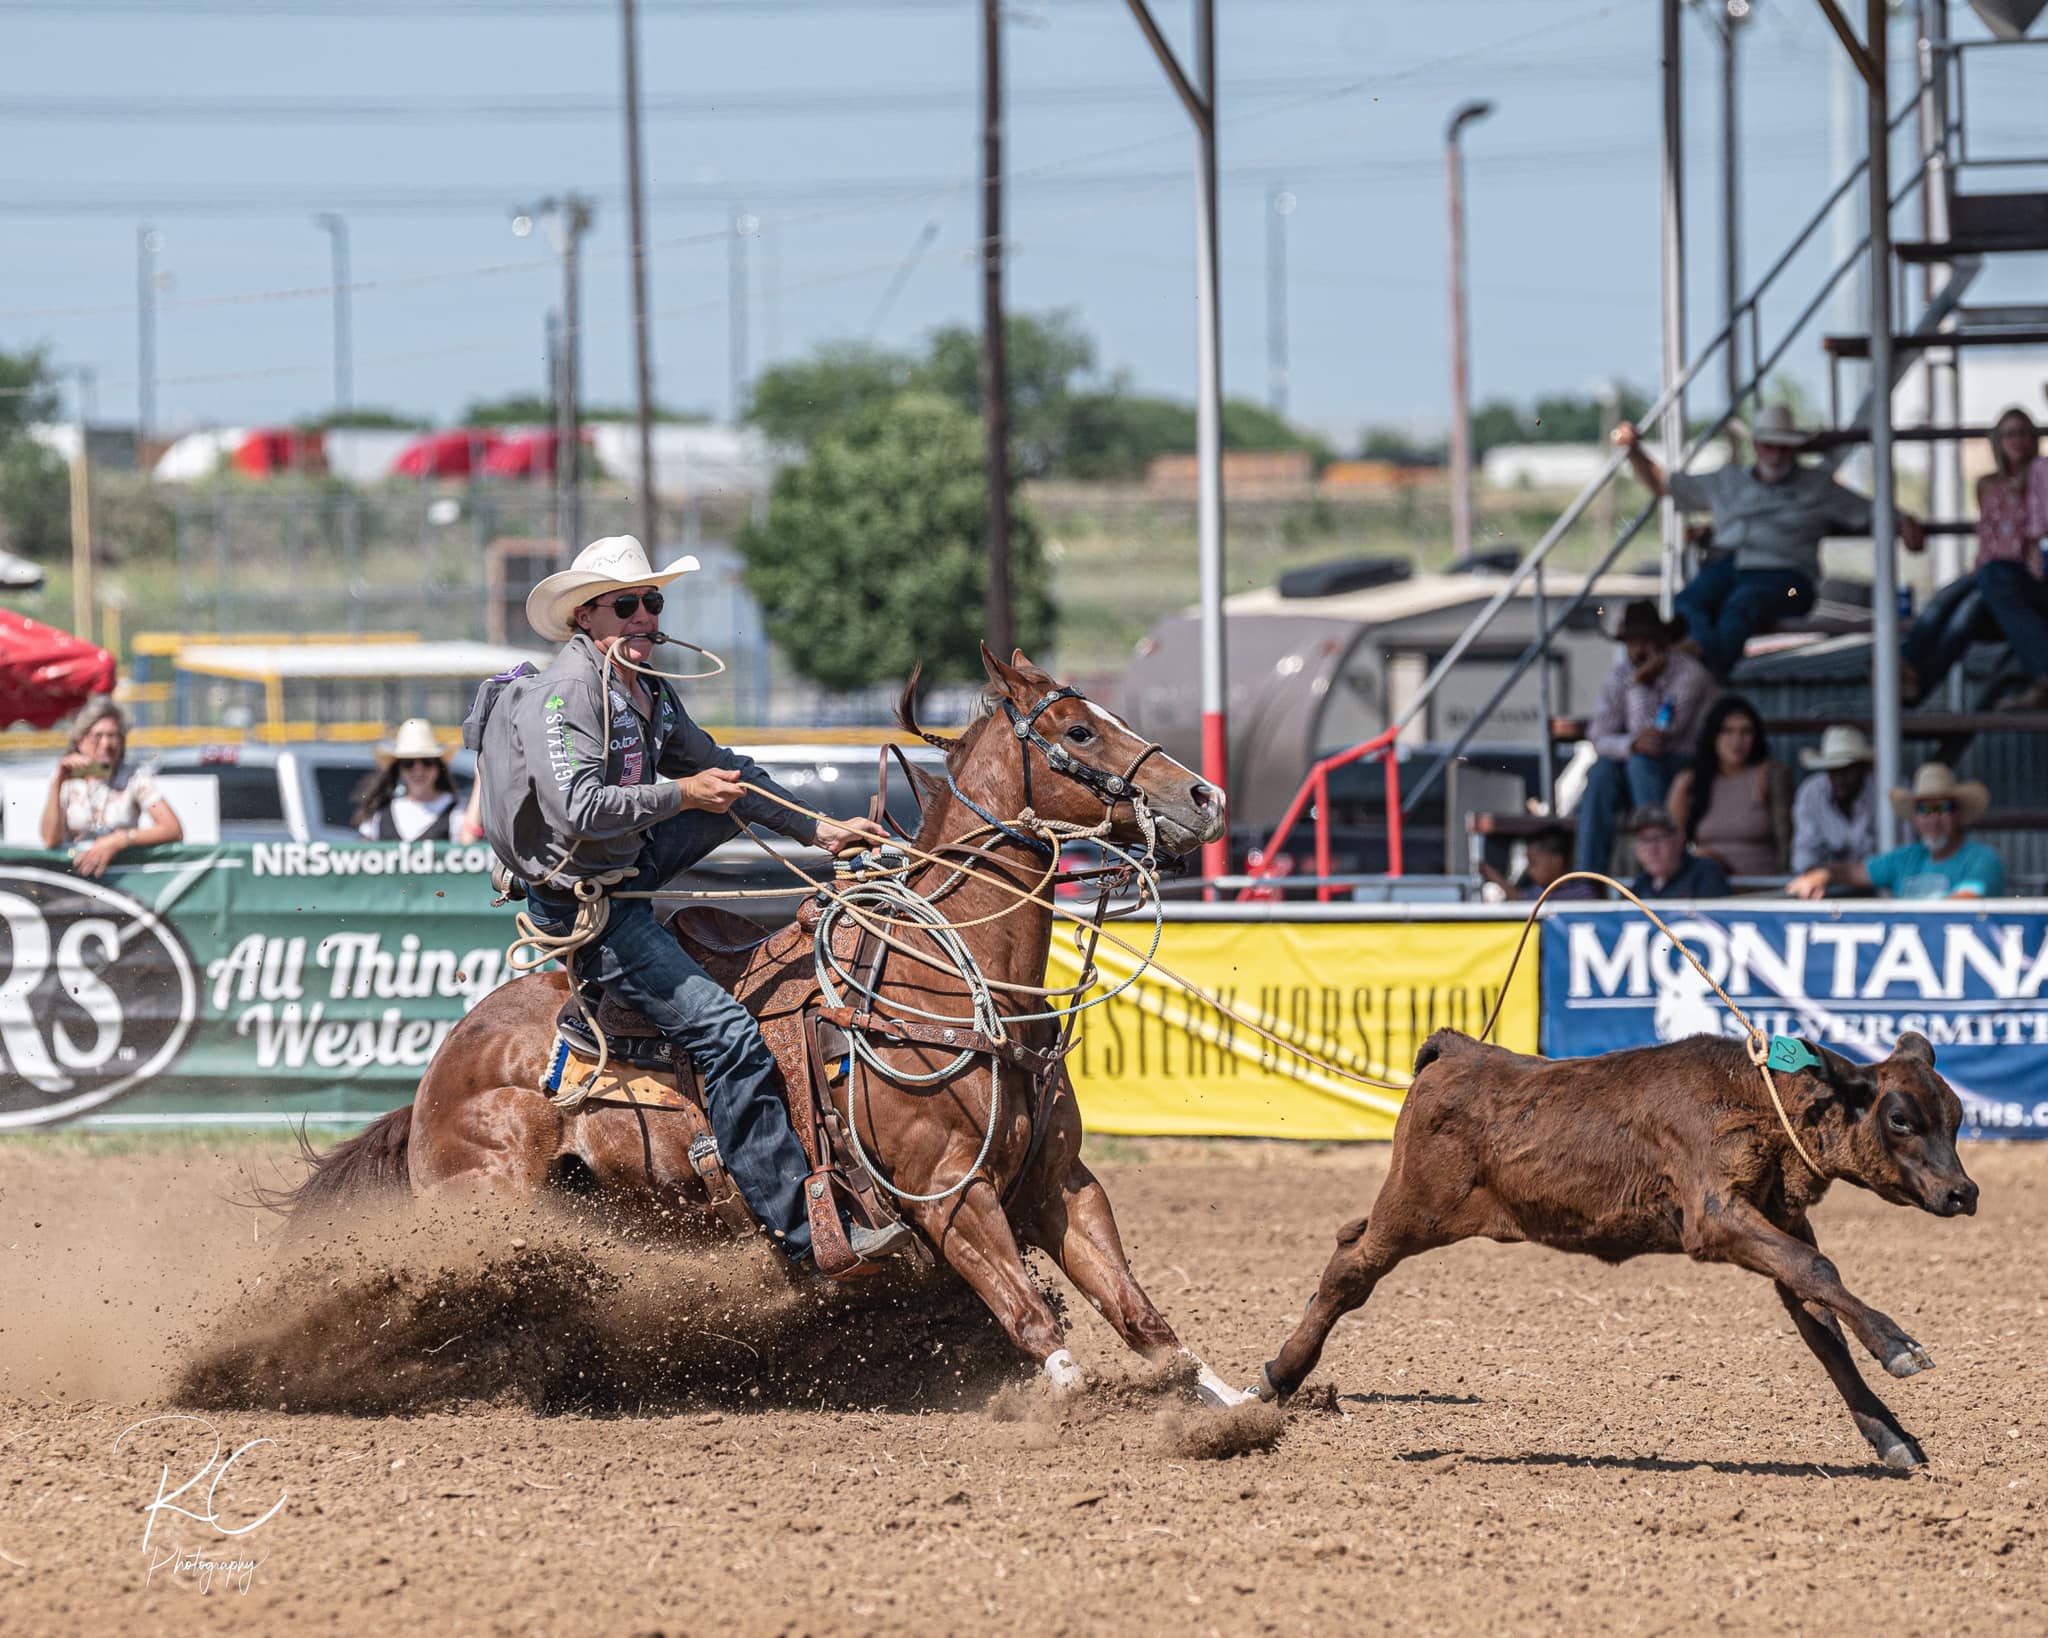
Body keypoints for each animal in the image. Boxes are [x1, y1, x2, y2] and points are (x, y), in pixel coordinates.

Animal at [274, 647, 1243, 1402]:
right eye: (1077, 732)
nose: (1204, 797)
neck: (949, 980)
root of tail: (439, 1071)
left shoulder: (1058, 1184)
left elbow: (1139, 1311)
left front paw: (1228, 1402)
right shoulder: (947, 1195)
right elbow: (1030, 1313)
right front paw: (1070, 1405)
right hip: (484, 1207)